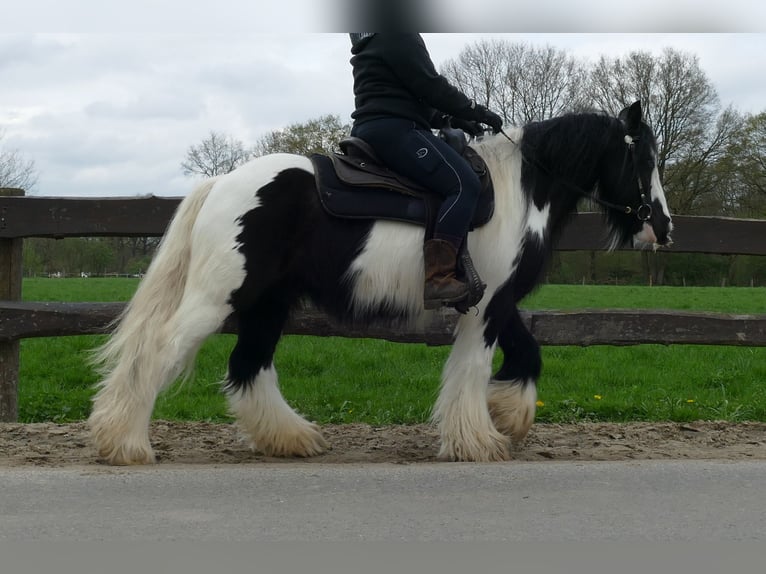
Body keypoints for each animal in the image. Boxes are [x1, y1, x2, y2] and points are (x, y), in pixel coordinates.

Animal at [90, 101, 676, 466]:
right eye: (643, 156)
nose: (664, 227)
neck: (520, 188)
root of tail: (220, 183)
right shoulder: (486, 302)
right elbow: (475, 367)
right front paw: (479, 438)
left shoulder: (496, 301)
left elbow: (528, 353)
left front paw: (508, 415)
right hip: (219, 296)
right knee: (159, 350)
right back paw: (126, 444)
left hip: (268, 303)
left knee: (248, 366)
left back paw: (291, 438)